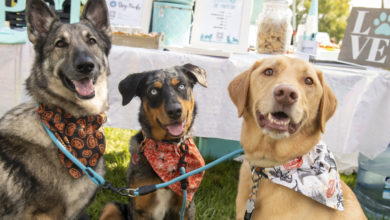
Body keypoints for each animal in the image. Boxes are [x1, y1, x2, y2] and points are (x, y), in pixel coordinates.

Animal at [100, 64, 207, 220]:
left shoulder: (186, 207)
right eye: (153, 91)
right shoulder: (139, 207)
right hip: (111, 207)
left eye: (181, 86)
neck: (168, 146)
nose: (175, 111)